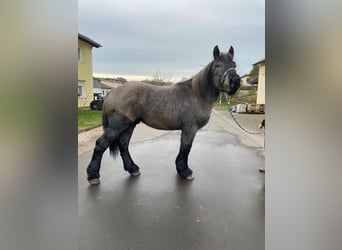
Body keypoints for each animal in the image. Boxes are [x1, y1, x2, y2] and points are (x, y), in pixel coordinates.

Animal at [86, 46, 240, 185]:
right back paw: (93, 176)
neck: (197, 94)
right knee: (101, 144)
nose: (235, 81)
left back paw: (133, 169)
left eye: (234, 65)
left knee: (123, 144)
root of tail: (113, 91)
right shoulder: (190, 129)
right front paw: (185, 171)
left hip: (129, 125)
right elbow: (186, 148)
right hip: (118, 126)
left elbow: (184, 149)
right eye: (218, 65)